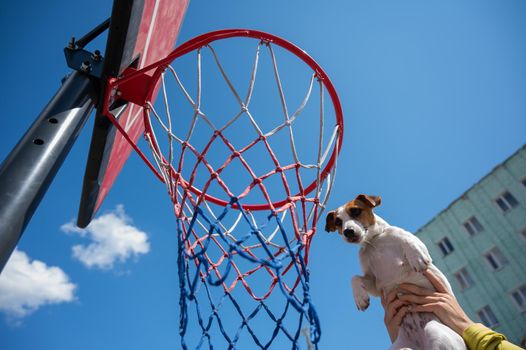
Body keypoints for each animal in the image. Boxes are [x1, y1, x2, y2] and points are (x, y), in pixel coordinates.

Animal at [328, 194, 468, 350]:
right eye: (338, 222)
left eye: (355, 211)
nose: (348, 231)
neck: (375, 241)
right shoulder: (374, 283)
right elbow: (355, 278)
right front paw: (360, 298)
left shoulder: (408, 240)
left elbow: (406, 238)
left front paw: (416, 257)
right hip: (398, 347)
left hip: (435, 331)